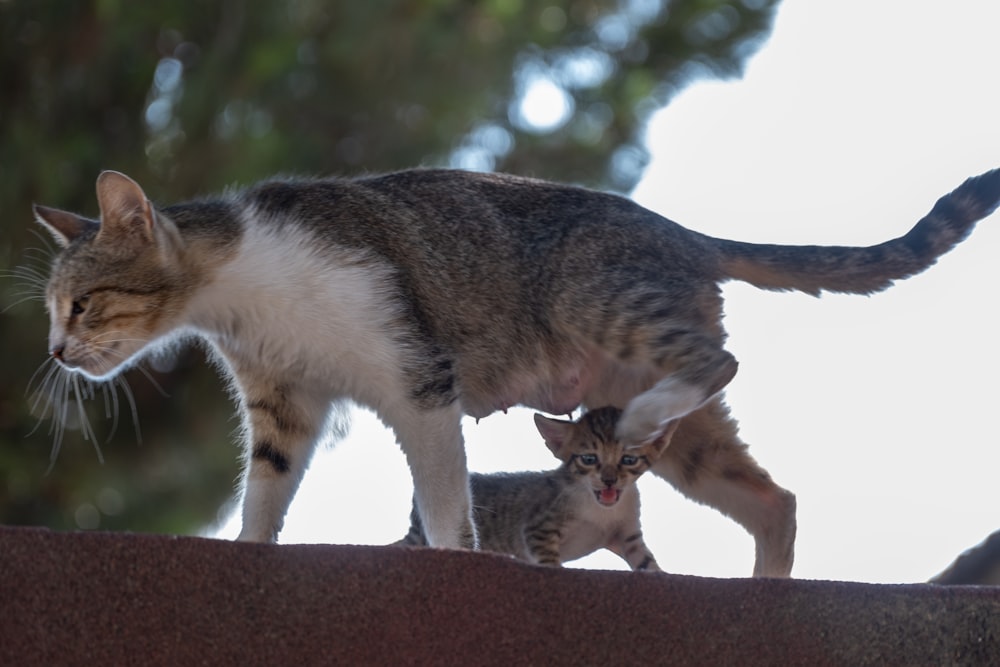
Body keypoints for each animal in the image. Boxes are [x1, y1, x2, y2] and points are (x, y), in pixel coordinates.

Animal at [398, 404, 672, 572]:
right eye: (589, 459)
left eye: (628, 460)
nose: (609, 481)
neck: (601, 512)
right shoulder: (539, 527)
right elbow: (549, 560)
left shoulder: (627, 534)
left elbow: (646, 561)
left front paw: (660, 573)